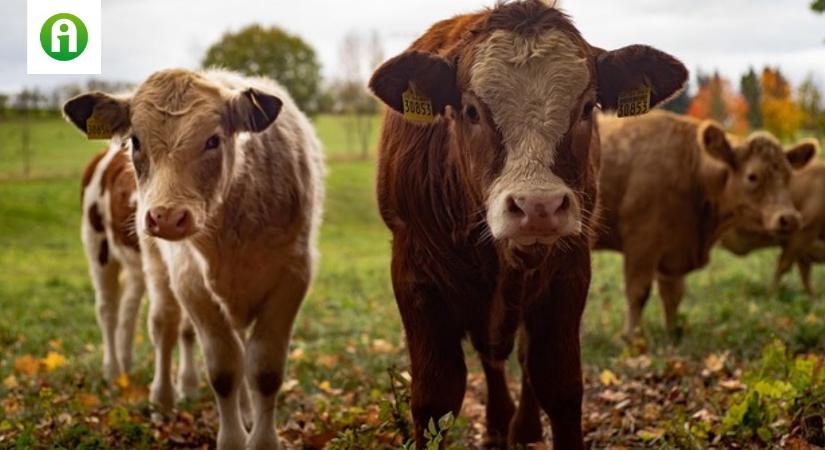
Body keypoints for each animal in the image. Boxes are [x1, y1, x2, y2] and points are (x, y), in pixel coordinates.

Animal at [79, 142, 199, 400]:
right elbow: (165, 321)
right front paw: (163, 395)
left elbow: (189, 328)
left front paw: (189, 387)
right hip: (98, 244)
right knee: (107, 309)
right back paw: (112, 370)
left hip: (136, 266)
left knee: (128, 307)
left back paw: (125, 365)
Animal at [370, 1, 684, 448]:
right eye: (471, 111)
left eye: (587, 108)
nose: (538, 206)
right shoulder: (415, 276)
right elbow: (435, 398)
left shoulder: (568, 273)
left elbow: (559, 383)